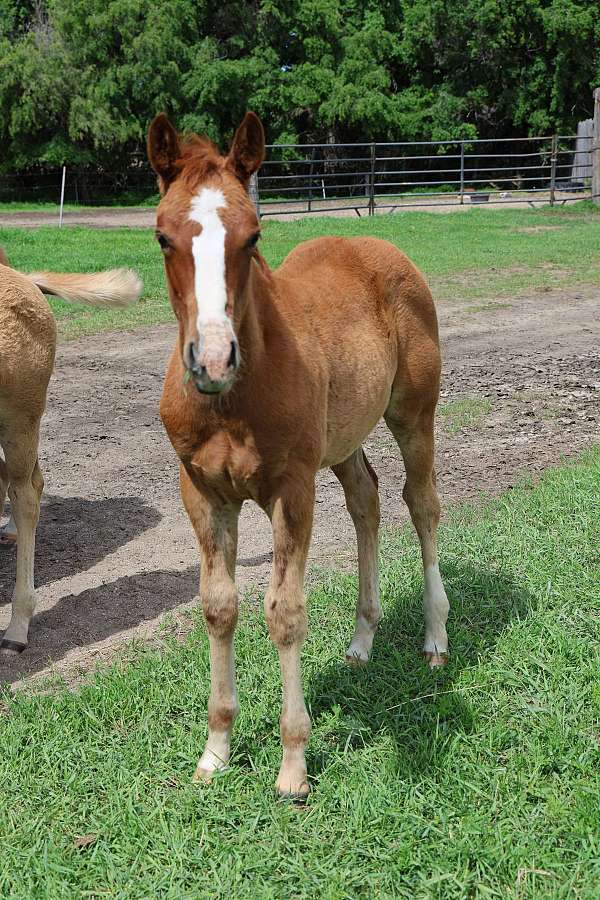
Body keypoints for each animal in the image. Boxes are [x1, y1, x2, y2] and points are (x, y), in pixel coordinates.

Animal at [147, 112, 450, 799]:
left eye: (253, 234)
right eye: (163, 238)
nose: (212, 360)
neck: (234, 401)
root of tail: (383, 249)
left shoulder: (291, 487)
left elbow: (284, 612)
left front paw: (293, 765)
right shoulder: (202, 491)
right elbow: (220, 606)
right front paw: (215, 750)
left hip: (413, 416)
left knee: (421, 505)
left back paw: (435, 637)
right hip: (341, 441)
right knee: (367, 500)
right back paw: (362, 642)